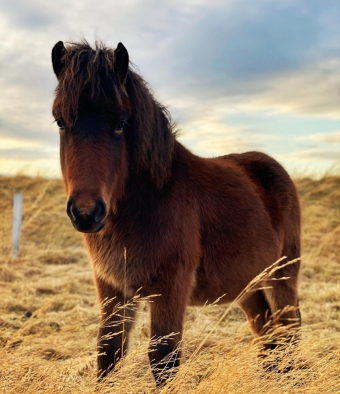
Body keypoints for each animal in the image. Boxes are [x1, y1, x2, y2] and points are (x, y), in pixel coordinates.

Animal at [50, 40, 300, 384]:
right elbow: (108, 354)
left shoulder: (169, 291)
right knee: (267, 331)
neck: (149, 202)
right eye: (60, 121)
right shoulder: (113, 289)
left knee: (289, 331)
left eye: (121, 123)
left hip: (282, 276)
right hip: (248, 284)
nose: (87, 213)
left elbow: (163, 361)